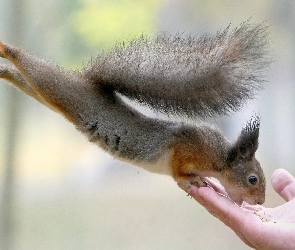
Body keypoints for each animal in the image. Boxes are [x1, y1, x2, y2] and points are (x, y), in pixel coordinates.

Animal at [0, 21, 270, 205]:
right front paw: (190, 180)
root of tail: (85, 80)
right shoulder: (186, 147)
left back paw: (4, 70)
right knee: (35, 68)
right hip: (61, 89)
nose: (260, 202)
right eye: (253, 179)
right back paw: (6, 49)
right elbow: (178, 172)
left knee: (26, 81)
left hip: (52, 96)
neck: (219, 157)